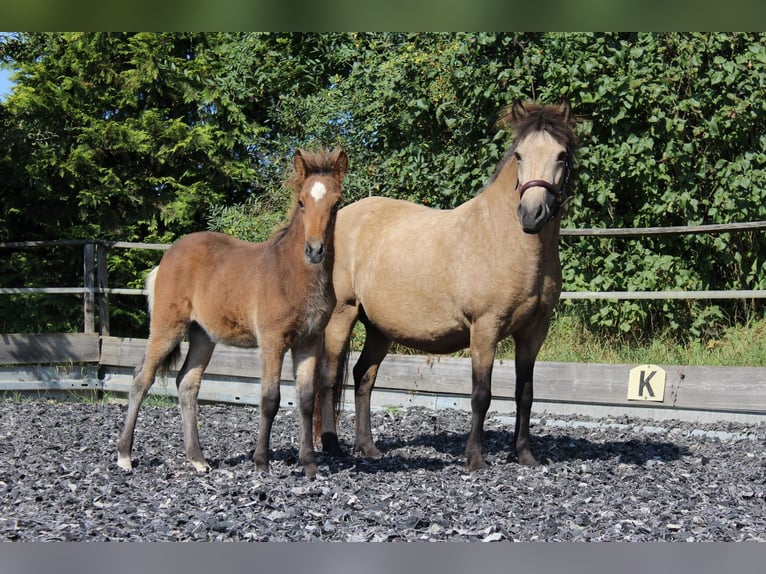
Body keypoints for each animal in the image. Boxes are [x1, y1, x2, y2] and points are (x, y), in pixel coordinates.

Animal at [117, 147, 349, 480]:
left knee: (187, 383)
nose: (314, 250)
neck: (293, 275)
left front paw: (309, 464)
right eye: (302, 202)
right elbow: (270, 398)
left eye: (336, 203)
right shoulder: (273, 340)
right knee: (141, 379)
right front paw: (261, 462)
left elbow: (305, 399)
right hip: (167, 326)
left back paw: (198, 459)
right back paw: (124, 455)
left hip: (203, 335)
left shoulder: (310, 341)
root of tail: (167, 257)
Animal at [314, 101, 577, 470]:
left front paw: (525, 455)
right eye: (520, 156)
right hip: (342, 315)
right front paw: (475, 459)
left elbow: (525, 394)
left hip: (379, 328)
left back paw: (368, 447)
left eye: (561, 156)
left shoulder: (533, 332)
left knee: (363, 375)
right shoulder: (485, 328)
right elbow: (481, 395)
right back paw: (332, 446)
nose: (531, 214)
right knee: (328, 378)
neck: (507, 239)